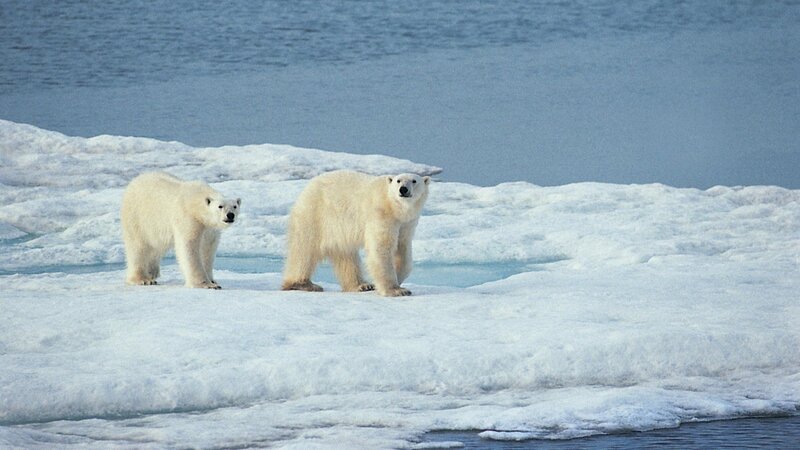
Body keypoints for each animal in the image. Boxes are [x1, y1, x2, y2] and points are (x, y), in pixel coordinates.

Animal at [282, 170, 430, 297]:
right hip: (314, 215)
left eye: (414, 181)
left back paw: (361, 285)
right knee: (304, 249)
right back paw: (302, 284)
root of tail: (306, 189)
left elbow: (403, 249)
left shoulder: (406, 223)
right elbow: (382, 248)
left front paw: (397, 279)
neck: (394, 208)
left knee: (346, 255)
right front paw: (396, 290)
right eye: (398, 181)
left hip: (338, 231)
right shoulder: (381, 215)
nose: (403, 189)